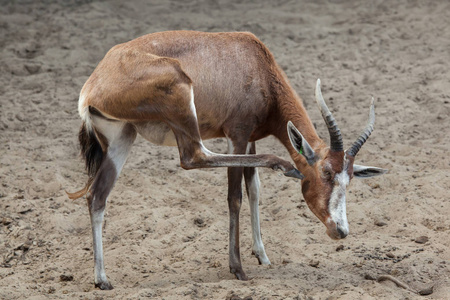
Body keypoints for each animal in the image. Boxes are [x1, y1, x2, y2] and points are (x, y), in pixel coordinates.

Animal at [67, 29, 386, 288]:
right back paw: (283, 165)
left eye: (350, 180)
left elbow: (254, 189)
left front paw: (262, 256)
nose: (340, 230)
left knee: (97, 196)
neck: (255, 61)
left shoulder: (252, 138)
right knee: (193, 156)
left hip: (123, 135)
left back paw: (102, 279)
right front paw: (238, 269)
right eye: (326, 174)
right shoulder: (238, 135)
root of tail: (92, 87)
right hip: (181, 103)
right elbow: (235, 196)